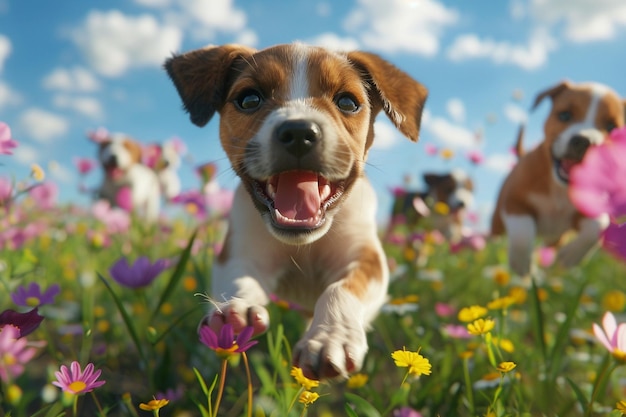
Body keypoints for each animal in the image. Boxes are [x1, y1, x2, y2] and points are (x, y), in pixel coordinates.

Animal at [163, 44, 426, 378]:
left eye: (347, 102)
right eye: (249, 99)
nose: (299, 131)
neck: (304, 243)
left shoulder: (366, 259)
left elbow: (342, 289)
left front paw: (329, 339)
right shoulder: (239, 252)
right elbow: (240, 279)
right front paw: (236, 309)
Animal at [490, 81, 620, 276]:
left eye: (612, 127)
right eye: (565, 115)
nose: (584, 142)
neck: (560, 190)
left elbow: (599, 225)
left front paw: (570, 256)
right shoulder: (514, 202)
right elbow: (521, 234)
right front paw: (522, 265)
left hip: (556, 238)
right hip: (497, 222)